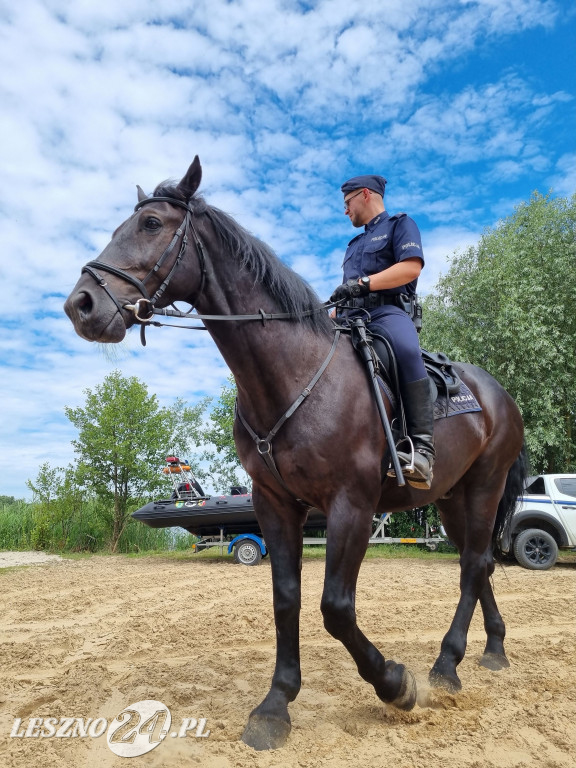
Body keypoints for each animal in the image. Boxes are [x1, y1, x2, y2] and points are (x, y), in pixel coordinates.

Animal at [64, 156, 528, 752]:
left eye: (149, 224)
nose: (81, 304)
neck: (294, 374)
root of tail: (500, 394)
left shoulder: (351, 505)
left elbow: (335, 608)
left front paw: (394, 684)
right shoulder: (274, 503)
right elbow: (286, 598)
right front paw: (275, 704)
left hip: (485, 485)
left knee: (472, 565)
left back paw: (445, 667)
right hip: (452, 496)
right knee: (481, 565)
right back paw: (491, 649)